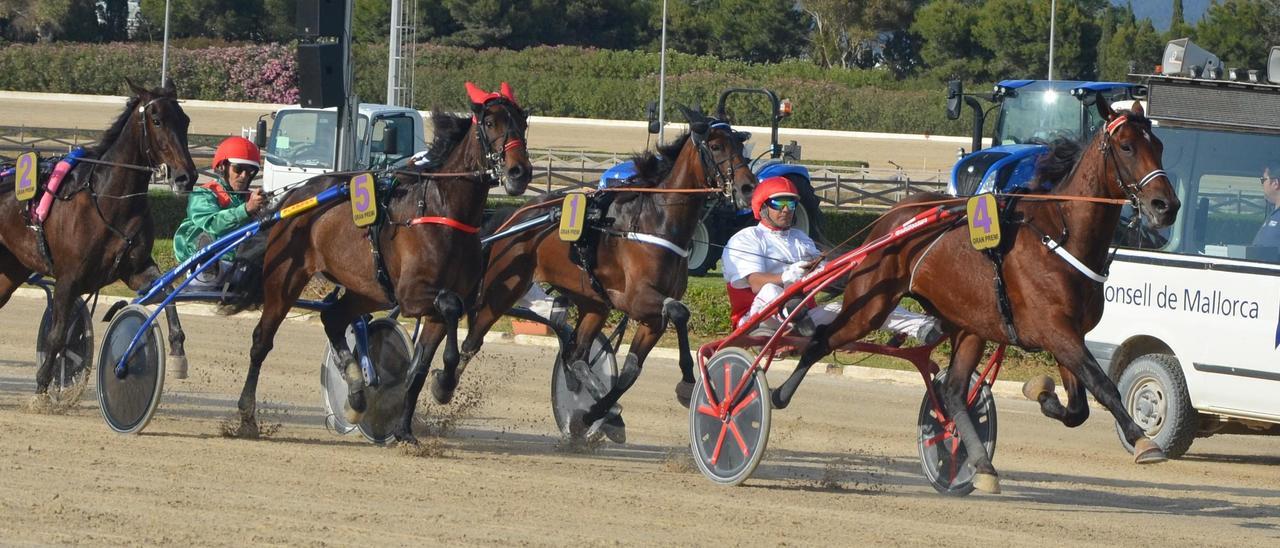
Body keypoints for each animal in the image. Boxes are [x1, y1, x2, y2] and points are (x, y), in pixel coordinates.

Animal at [0, 79, 197, 396]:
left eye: (185, 120)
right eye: (156, 120)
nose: (186, 176)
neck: (107, 200)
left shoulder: (135, 269)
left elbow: (167, 291)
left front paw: (178, 351)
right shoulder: (68, 278)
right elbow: (57, 336)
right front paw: (42, 388)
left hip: (11, 268)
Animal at [227, 82, 532, 440]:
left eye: (522, 122)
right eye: (490, 123)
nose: (519, 172)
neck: (442, 212)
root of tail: (292, 197)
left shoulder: (433, 305)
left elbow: (420, 366)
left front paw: (406, 427)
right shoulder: (412, 295)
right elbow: (450, 306)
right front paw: (443, 384)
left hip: (369, 289)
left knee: (333, 317)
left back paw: (357, 394)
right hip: (285, 277)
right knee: (262, 341)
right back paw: (247, 417)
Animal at [430, 106, 752, 440]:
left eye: (739, 144)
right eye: (716, 146)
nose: (748, 187)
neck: (656, 220)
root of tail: (513, 217)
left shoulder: (651, 317)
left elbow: (630, 371)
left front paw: (597, 413)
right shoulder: (635, 299)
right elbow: (679, 312)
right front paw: (687, 384)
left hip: (593, 301)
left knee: (576, 354)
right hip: (503, 289)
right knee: (473, 339)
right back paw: (443, 385)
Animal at [768, 98, 1177, 491]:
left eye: (1158, 145)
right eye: (1126, 146)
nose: (1166, 206)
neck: (1059, 237)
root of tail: (894, 215)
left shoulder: (1069, 333)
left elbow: (1078, 408)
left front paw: (1042, 392)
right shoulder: (1055, 329)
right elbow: (1103, 386)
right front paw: (1144, 441)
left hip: (968, 325)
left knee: (952, 392)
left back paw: (981, 464)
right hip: (869, 305)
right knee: (822, 339)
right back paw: (776, 395)